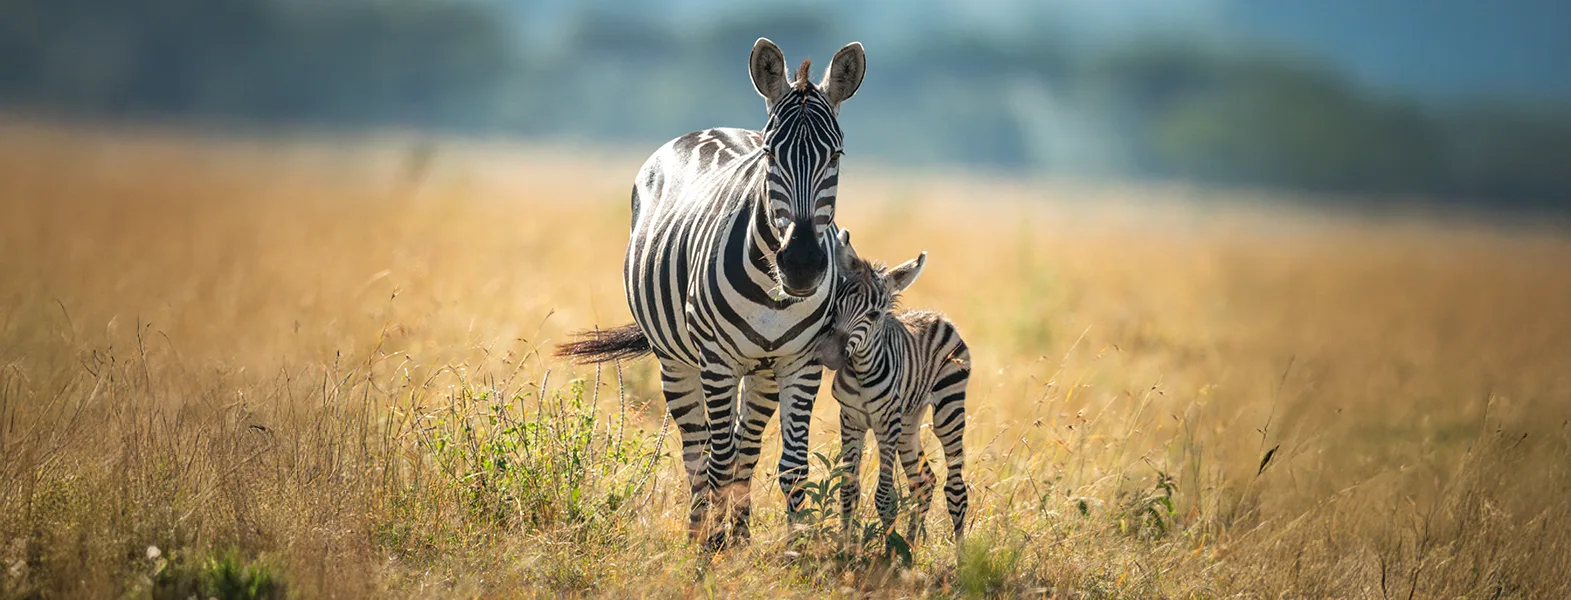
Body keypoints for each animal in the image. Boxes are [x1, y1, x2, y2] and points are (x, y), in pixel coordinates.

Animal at [555, 38, 866, 548]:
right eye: (770, 156)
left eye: (836, 156)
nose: (801, 264)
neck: (774, 294)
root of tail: (708, 129)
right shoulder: (717, 361)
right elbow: (717, 463)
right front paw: (709, 550)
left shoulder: (801, 363)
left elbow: (793, 468)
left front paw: (793, 550)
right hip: (677, 361)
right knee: (699, 452)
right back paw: (702, 530)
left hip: (761, 371)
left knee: (746, 447)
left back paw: (739, 534)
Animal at [824, 230, 971, 541]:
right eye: (837, 306)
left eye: (874, 315)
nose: (828, 355)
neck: (862, 372)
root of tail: (936, 315)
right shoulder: (850, 419)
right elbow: (848, 490)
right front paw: (846, 546)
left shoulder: (886, 424)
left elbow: (884, 495)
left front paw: (890, 547)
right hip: (909, 421)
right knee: (924, 481)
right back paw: (912, 546)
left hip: (948, 409)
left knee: (955, 489)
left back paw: (961, 552)